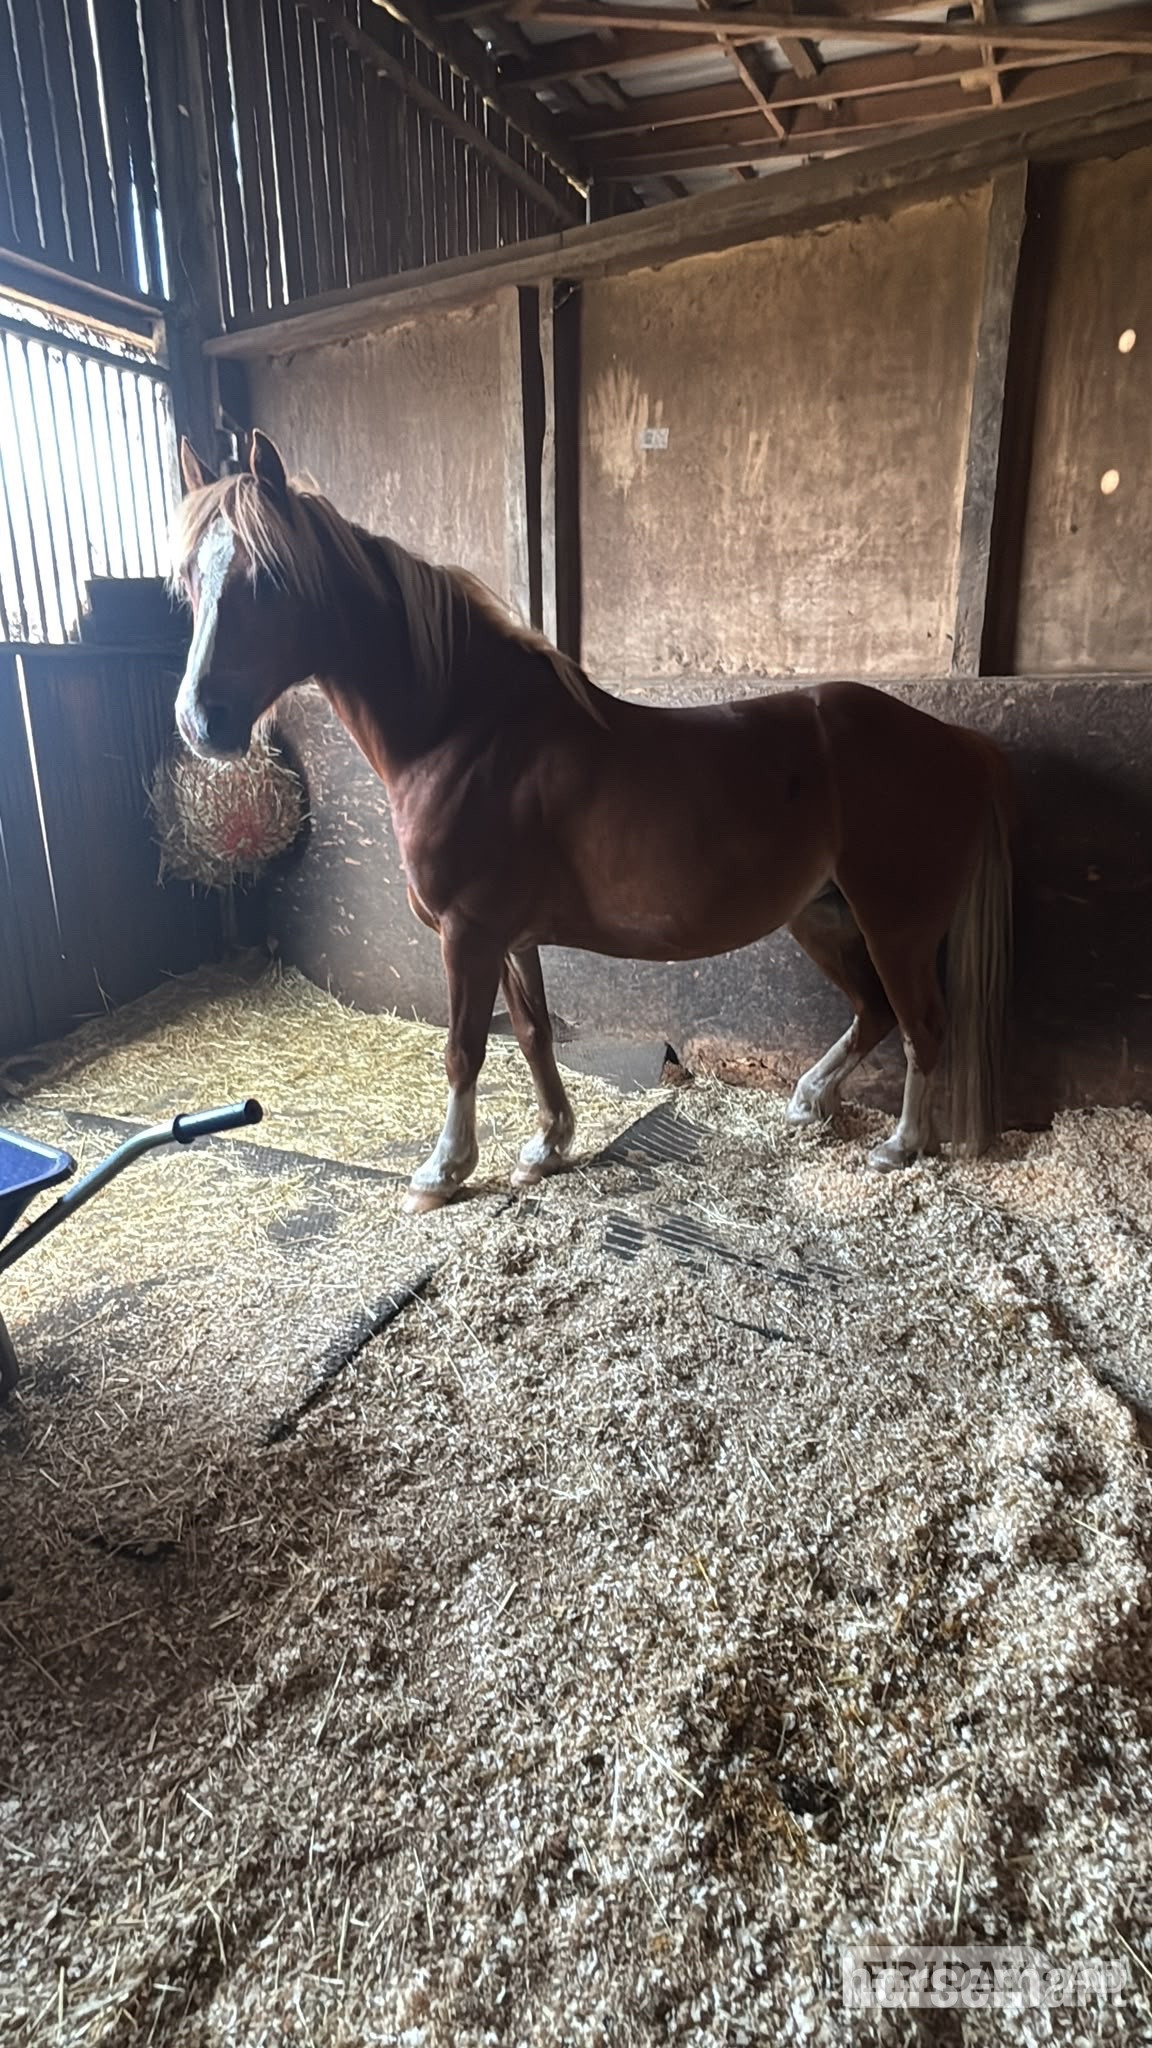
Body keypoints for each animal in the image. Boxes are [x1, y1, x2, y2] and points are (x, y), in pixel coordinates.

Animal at [170, 430, 1013, 1215]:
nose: (201, 722)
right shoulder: (510, 939)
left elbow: (463, 1050)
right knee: (875, 1012)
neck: (467, 735)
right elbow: (534, 1035)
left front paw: (442, 1173)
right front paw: (547, 1146)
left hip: (894, 926)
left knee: (921, 1024)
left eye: (269, 580)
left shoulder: (467, 934)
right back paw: (810, 1102)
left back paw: (900, 1145)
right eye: (187, 584)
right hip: (823, 916)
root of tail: (961, 740)